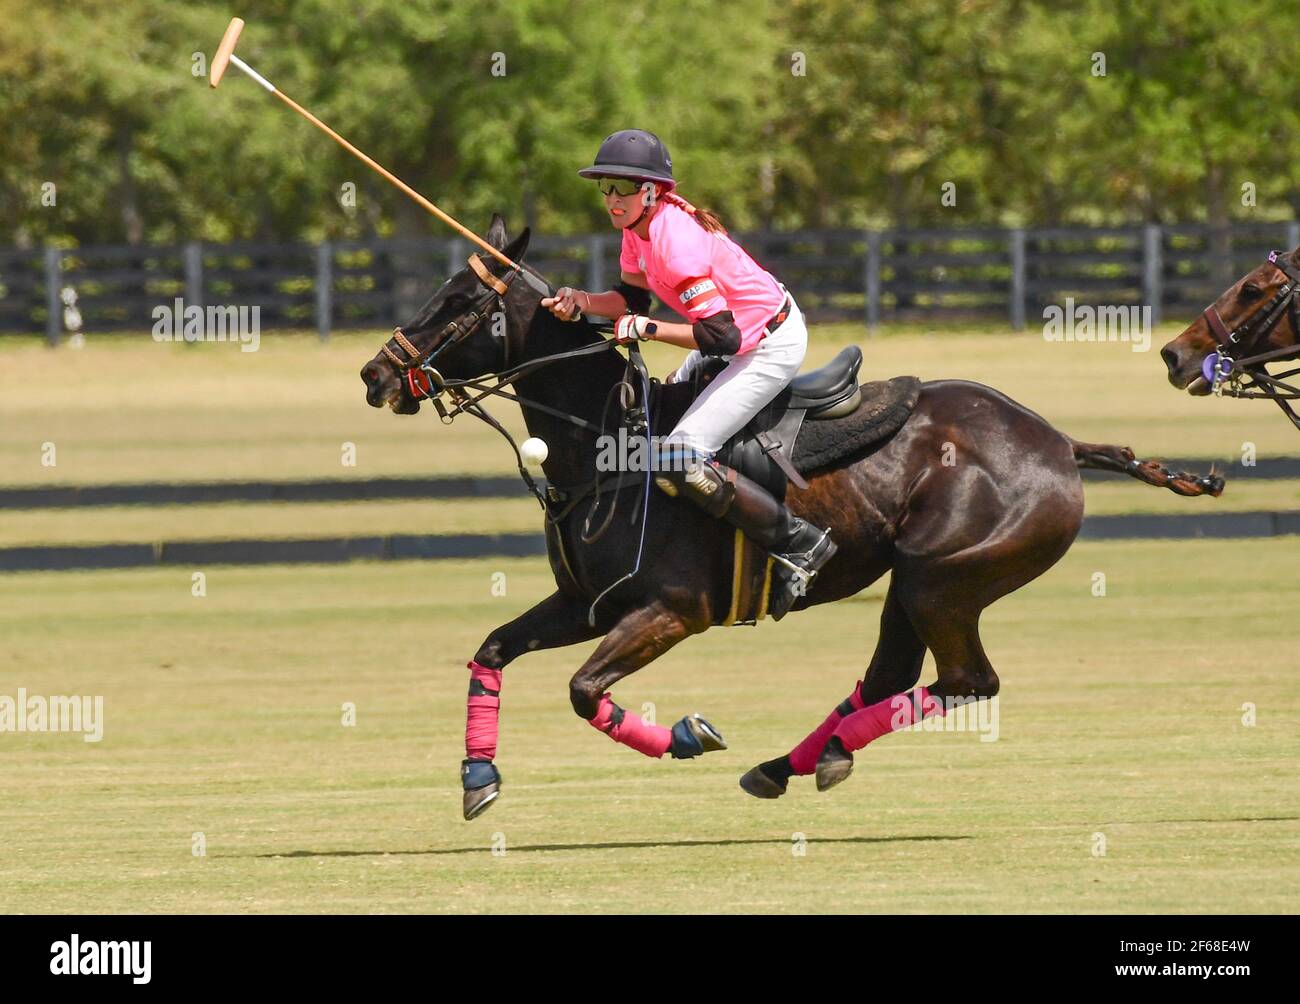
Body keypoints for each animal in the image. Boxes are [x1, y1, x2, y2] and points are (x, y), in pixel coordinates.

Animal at [361, 215, 1222, 821]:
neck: (605, 446)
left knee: (968, 680)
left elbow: (581, 689)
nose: (376, 374)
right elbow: (493, 650)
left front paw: (687, 735)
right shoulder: (586, 603)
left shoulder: (672, 610)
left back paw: (819, 751)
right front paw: (478, 777)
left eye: (459, 303)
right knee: (893, 674)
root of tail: (1059, 442)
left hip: (946, 577)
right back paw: (797, 761)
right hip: (915, 582)